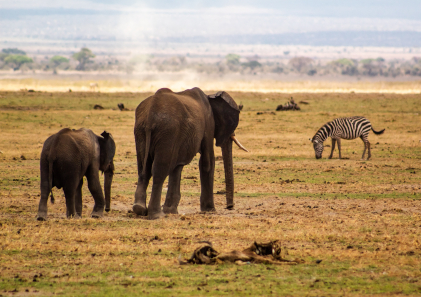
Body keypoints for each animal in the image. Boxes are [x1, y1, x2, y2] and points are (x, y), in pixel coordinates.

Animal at [134, 86, 246, 219]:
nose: (229, 207)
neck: (210, 97)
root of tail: (151, 114)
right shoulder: (208, 123)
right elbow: (207, 162)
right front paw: (210, 210)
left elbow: (177, 166)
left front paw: (171, 211)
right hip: (168, 132)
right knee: (159, 171)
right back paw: (157, 215)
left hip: (141, 132)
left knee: (144, 169)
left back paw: (139, 209)